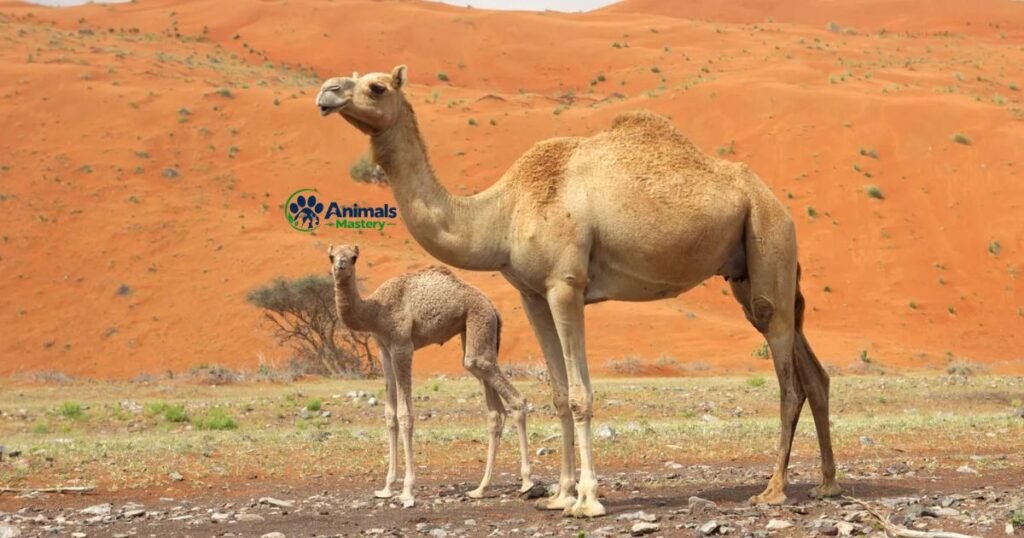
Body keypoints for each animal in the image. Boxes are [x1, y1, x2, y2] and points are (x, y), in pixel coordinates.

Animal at [327, 244, 534, 507]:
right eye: (331, 256)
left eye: (354, 257)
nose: (340, 266)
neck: (375, 311)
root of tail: (494, 308)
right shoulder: (383, 349)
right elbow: (390, 415)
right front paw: (386, 488)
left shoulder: (402, 346)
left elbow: (405, 415)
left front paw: (407, 492)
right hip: (474, 333)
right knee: (493, 409)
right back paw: (480, 489)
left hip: (479, 321)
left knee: (515, 399)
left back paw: (527, 482)